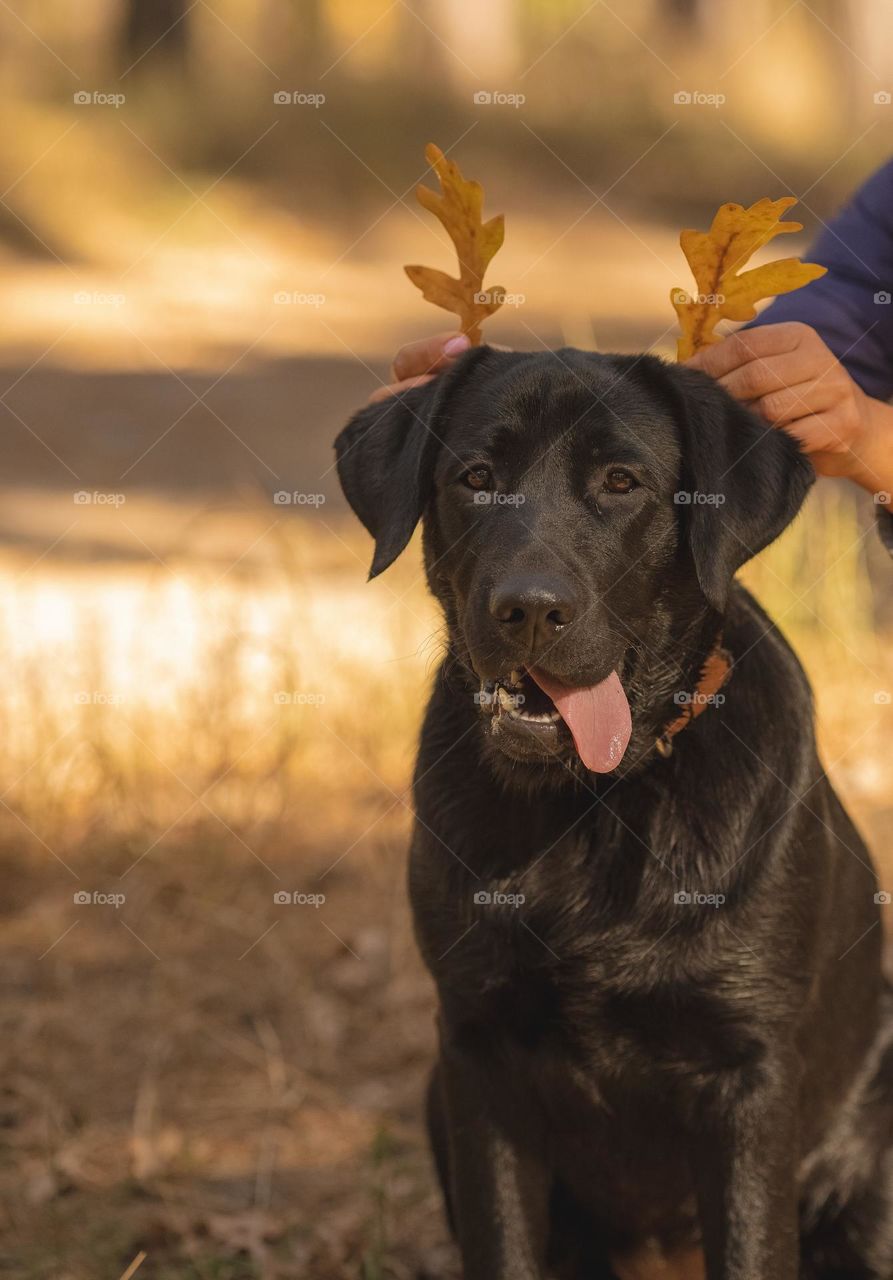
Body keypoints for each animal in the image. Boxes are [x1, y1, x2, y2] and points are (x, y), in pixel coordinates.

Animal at [332, 343, 890, 1280]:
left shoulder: (747, 1073)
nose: (528, 608)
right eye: (475, 476)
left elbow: (750, 1245)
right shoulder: (477, 1053)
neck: (592, 804)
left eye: (621, 482)